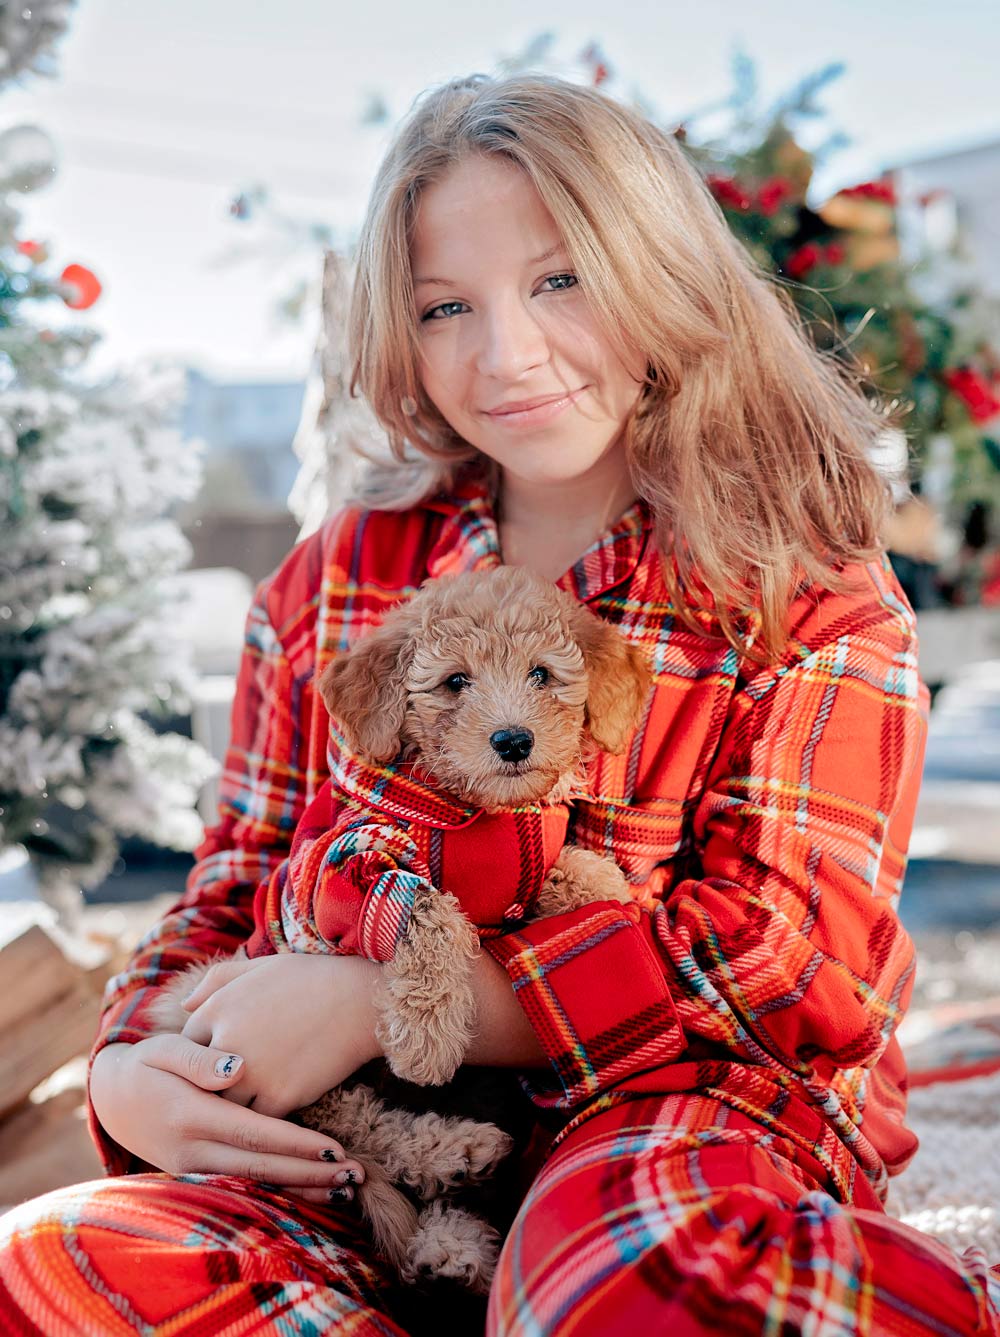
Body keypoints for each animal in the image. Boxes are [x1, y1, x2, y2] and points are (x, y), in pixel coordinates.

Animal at [152, 566, 652, 1294]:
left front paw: (607, 890)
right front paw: (426, 1035)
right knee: (351, 1127)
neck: (480, 814)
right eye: (454, 682)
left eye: (541, 674)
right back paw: (453, 1151)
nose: (513, 741)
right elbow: (425, 909)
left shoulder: (526, 870)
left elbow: (566, 867)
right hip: (311, 1076)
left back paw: (455, 1236)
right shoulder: (341, 868)